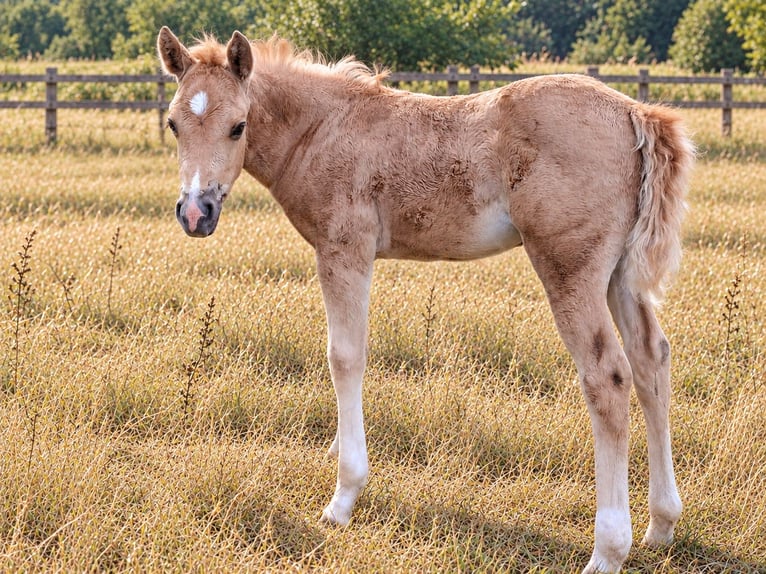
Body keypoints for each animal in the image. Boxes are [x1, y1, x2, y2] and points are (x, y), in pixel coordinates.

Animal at [157, 27, 693, 573]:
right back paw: (661, 524)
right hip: (620, 275)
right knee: (651, 360)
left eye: (238, 127)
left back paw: (608, 549)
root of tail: (634, 112)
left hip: (570, 268)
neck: (322, 129)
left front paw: (343, 496)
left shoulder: (344, 251)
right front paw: (337, 450)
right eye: (174, 124)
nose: (196, 213)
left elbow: (344, 357)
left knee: (607, 377)